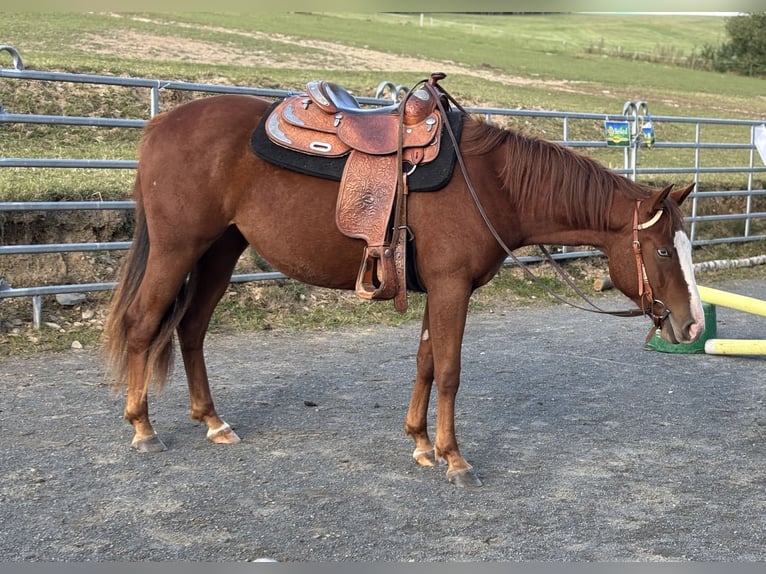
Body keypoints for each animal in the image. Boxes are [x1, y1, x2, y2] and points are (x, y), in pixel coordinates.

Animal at [104, 87, 704, 488]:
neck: (493, 186)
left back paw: (212, 421)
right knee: (144, 323)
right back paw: (142, 429)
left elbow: (426, 363)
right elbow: (451, 370)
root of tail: (159, 126)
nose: (693, 323)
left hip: (220, 251)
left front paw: (420, 443)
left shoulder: (440, 288)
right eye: (662, 251)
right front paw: (455, 459)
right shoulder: (451, 286)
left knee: (190, 328)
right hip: (179, 248)